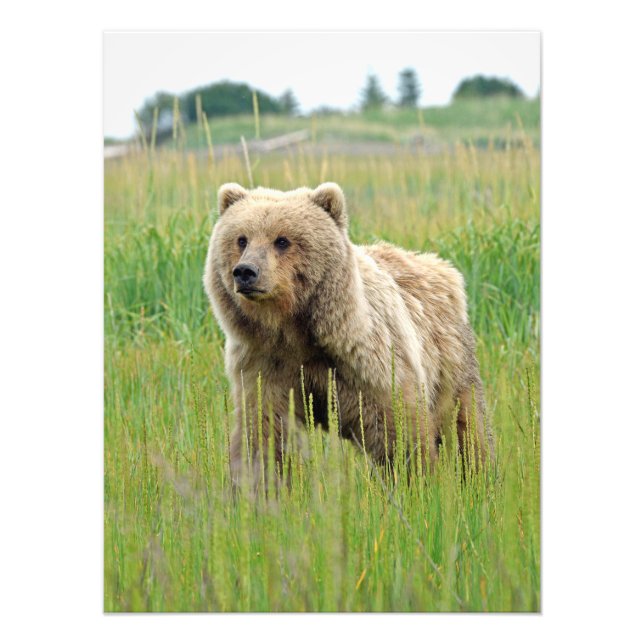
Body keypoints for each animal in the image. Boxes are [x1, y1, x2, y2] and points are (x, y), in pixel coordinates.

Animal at [203, 182, 493, 487]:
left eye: (282, 240)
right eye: (241, 239)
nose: (246, 272)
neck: (294, 330)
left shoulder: (369, 366)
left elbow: (400, 432)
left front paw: (415, 482)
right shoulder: (267, 365)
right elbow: (265, 433)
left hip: (450, 361)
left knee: (467, 425)